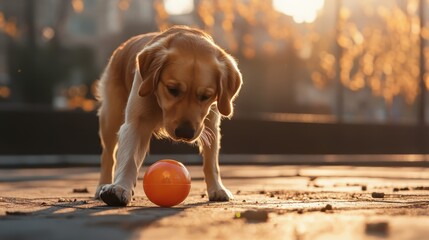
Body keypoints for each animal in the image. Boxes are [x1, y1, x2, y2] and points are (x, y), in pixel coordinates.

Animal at [96, 26, 241, 206]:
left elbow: (211, 162)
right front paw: (120, 188)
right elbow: (129, 158)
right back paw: (102, 184)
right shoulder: (135, 123)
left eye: (206, 96)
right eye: (172, 89)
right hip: (111, 116)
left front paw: (217, 188)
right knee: (108, 154)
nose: (185, 133)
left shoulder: (210, 125)